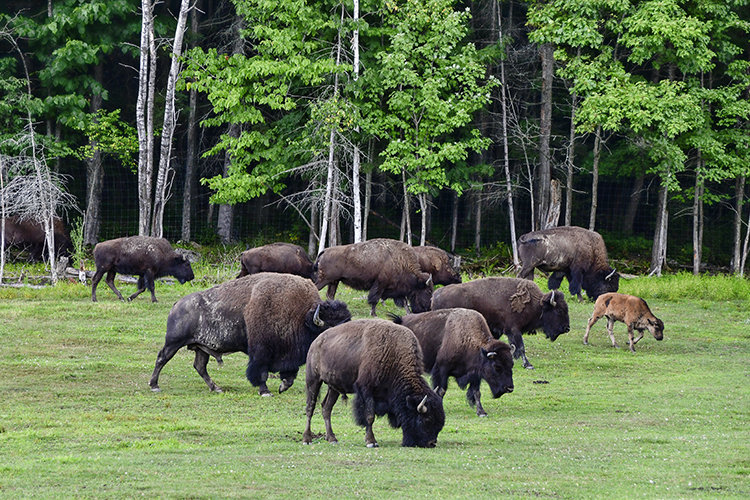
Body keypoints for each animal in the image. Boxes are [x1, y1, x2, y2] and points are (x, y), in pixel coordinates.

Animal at [153, 274, 356, 394]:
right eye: (329, 329)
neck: (302, 315)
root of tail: (177, 305)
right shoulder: (261, 352)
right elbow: (261, 372)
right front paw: (265, 391)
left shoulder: (288, 355)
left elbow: (289, 375)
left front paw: (282, 387)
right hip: (174, 342)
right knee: (162, 358)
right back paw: (154, 385)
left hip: (201, 348)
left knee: (200, 366)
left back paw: (216, 388)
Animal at [304, 320, 446, 450]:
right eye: (427, 419)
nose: (431, 443)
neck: (393, 352)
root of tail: (316, 342)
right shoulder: (366, 390)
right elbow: (369, 416)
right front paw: (371, 442)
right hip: (313, 380)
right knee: (310, 407)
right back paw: (307, 439)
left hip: (333, 387)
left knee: (326, 408)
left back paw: (332, 439)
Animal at [432, 280, 572, 370]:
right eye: (559, 311)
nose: (566, 328)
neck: (537, 303)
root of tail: (435, 295)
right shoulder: (514, 329)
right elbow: (521, 347)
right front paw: (528, 365)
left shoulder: (499, 330)